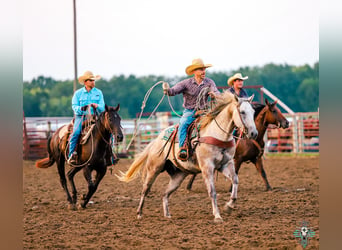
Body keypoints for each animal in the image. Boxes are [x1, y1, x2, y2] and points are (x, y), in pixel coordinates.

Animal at [119, 92, 258, 223]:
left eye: (253, 112)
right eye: (242, 112)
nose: (254, 133)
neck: (218, 135)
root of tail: (156, 140)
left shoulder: (226, 164)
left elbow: (235, 180)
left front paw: (229, 206)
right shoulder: (207, 167)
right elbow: (212, 192)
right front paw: (217, 216)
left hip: (178, 175)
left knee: (165, 193)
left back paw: (167, 215)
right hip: (154, 169)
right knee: (145, 189)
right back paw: (139, 213)